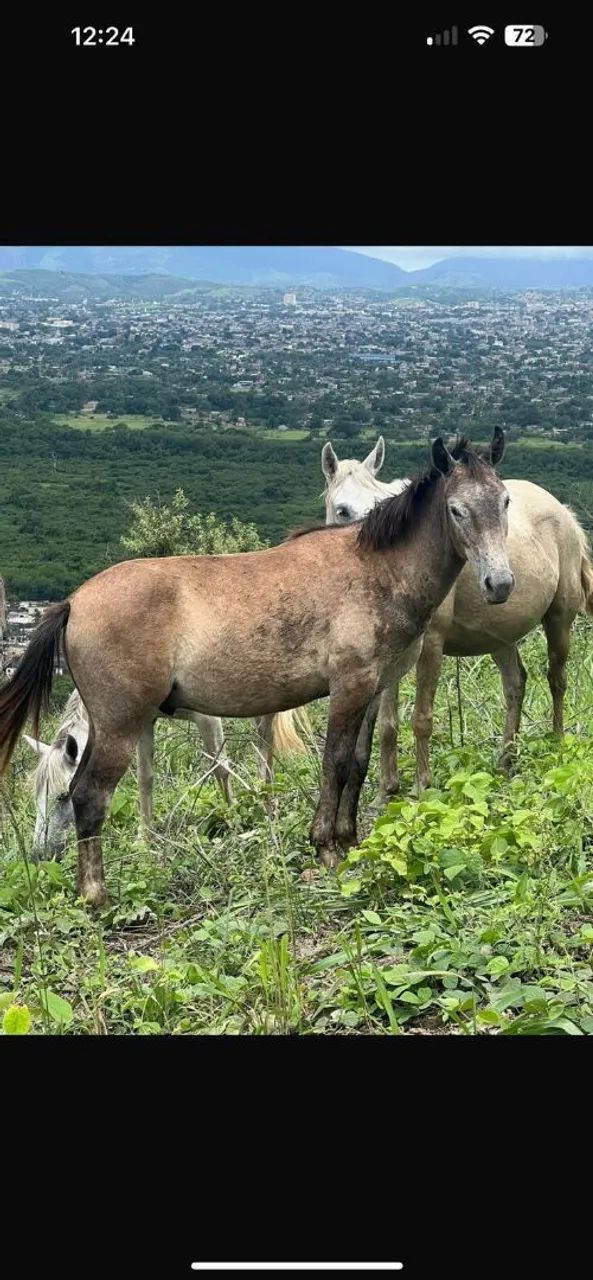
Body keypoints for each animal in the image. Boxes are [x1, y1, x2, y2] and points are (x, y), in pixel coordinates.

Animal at [23, 690, 307, 859]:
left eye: (63, 796)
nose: (39, 854)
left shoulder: (207, 717)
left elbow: (220, 767)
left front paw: (235, 822)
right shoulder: (144, 722)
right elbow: (145, 780)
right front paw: (144, 840)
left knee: (265, 732)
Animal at [321, 435, 593, 796]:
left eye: (382, 505)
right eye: (342, 510)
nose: (500, 582)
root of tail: (565, 513)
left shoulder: (432, 645)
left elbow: (422, 717)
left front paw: (422, 787)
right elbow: (388, 724)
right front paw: (387, 789)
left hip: (559, 619)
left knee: (556, 680)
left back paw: (557, 743)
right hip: (499, 637)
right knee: (515, 684)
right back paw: (505, 760)